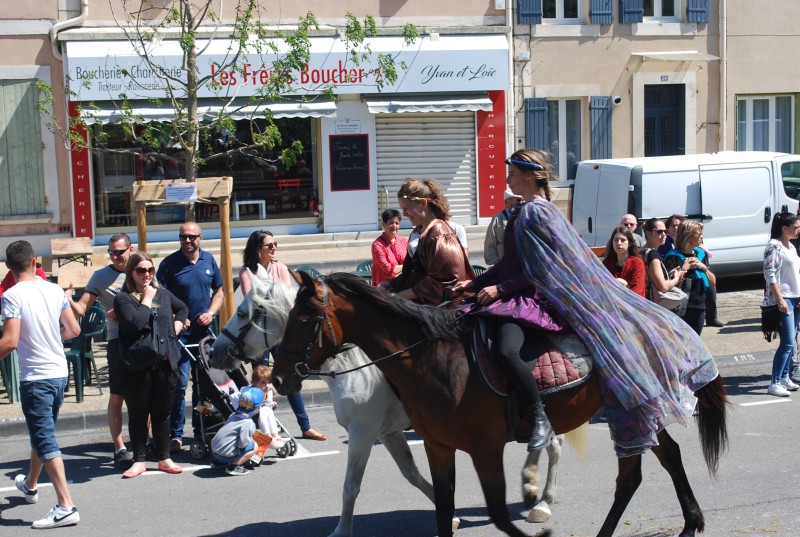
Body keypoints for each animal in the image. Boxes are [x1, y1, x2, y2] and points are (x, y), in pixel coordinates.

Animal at [209, 278, 564, 532]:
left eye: (243, 313)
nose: (215, 351)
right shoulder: (389, 433)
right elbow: (412, 474)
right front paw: (448, 515)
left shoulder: (363, 431)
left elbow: (351, 486)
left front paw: (341, 531)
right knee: (549, 441)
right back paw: (534, 488)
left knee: (553, 445)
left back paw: (542, 502)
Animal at [272, 272, 728, 536]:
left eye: (303, 318)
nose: (277, 377)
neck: (431, 358)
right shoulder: (433, 445)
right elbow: (438, 503)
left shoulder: (479, 448)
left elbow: (497, 514)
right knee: (657, 460)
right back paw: (688, 523)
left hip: (630, 408)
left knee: (632, 469)